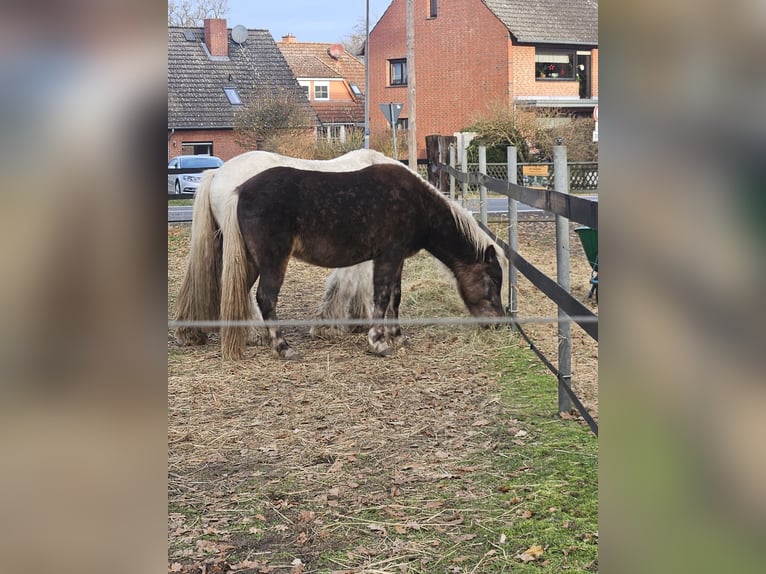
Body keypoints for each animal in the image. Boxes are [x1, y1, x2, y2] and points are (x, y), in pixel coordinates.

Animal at [235, 163, 507, 359]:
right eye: (493, 281)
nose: (498, 323)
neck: (417, 204)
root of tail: (241, 190)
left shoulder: (398, 259)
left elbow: (395, 297)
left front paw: (397, 336)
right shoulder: (387, 256)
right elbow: (382, 297)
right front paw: (378, 342)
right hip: (273, 262)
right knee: (266, 299)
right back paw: (283, 347)